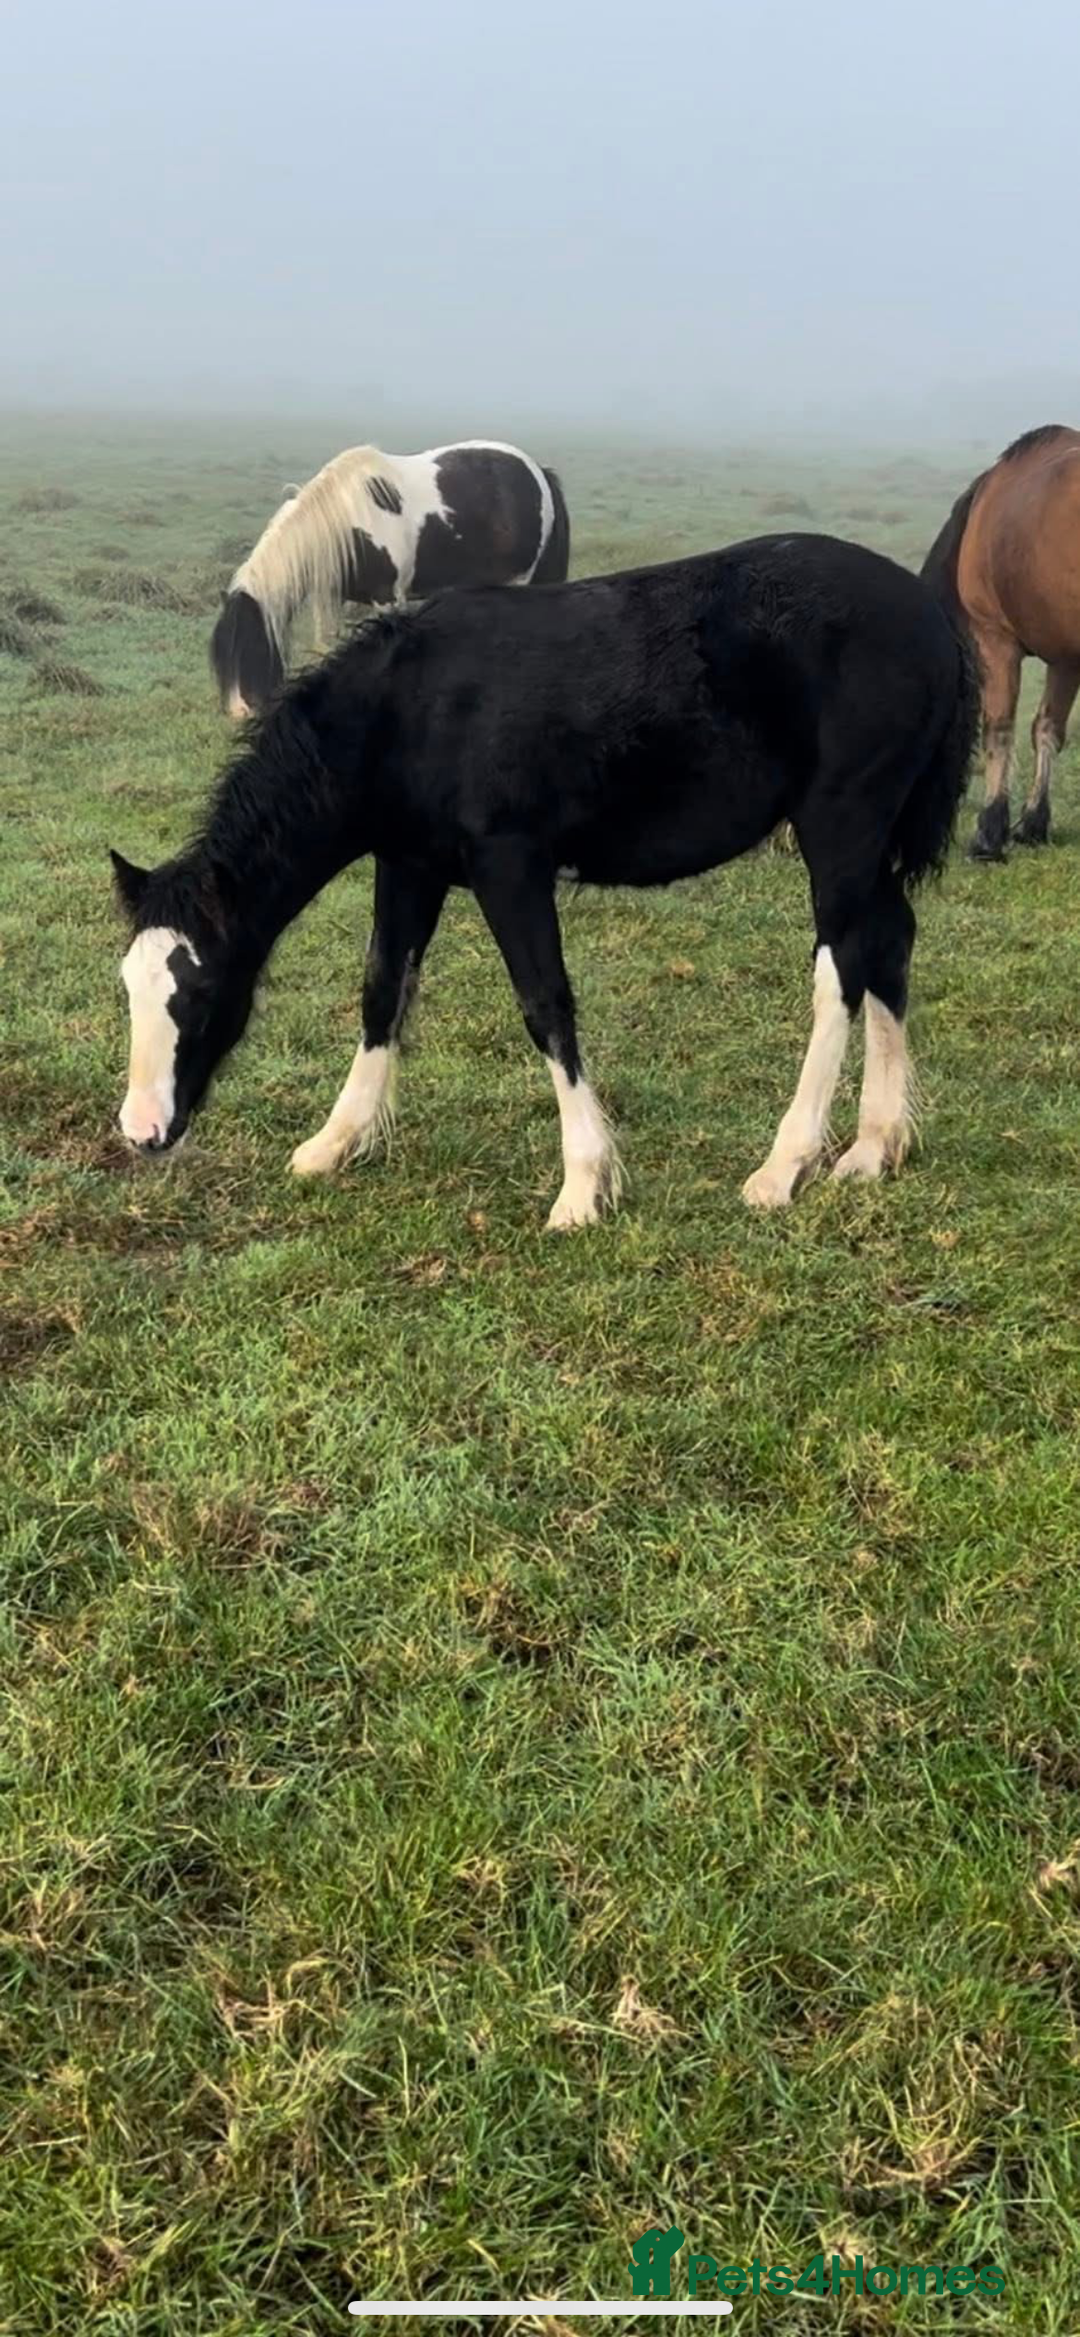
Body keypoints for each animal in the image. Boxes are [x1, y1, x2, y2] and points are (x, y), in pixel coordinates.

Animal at [113, 534, 977, 1229]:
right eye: (128, 989)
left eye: (199, 990)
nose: (143, 1130)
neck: (410, 707)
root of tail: (931, 614)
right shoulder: (411, 865)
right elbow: (382, 990)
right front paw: (335, 1141)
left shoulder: (510, 866)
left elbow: (545, 1004)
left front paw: (583, 1187)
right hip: (869, 840)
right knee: (890, 943)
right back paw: (873, 1148)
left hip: (840, 823)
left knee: (842, 971)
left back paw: (783, 1165)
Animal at [210, 439, 570, 717]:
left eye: (252, 647)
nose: (240, 712)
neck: (344, 523)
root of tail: (539, 471)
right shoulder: (332, 597)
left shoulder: (386, 598)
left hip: (519, 580)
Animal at [921, 424, 1080, 859]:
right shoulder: (1065, 656)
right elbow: (1047, 730)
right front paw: (1033, 824)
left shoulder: (995, 639)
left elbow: (999, 731)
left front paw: (990, 834)